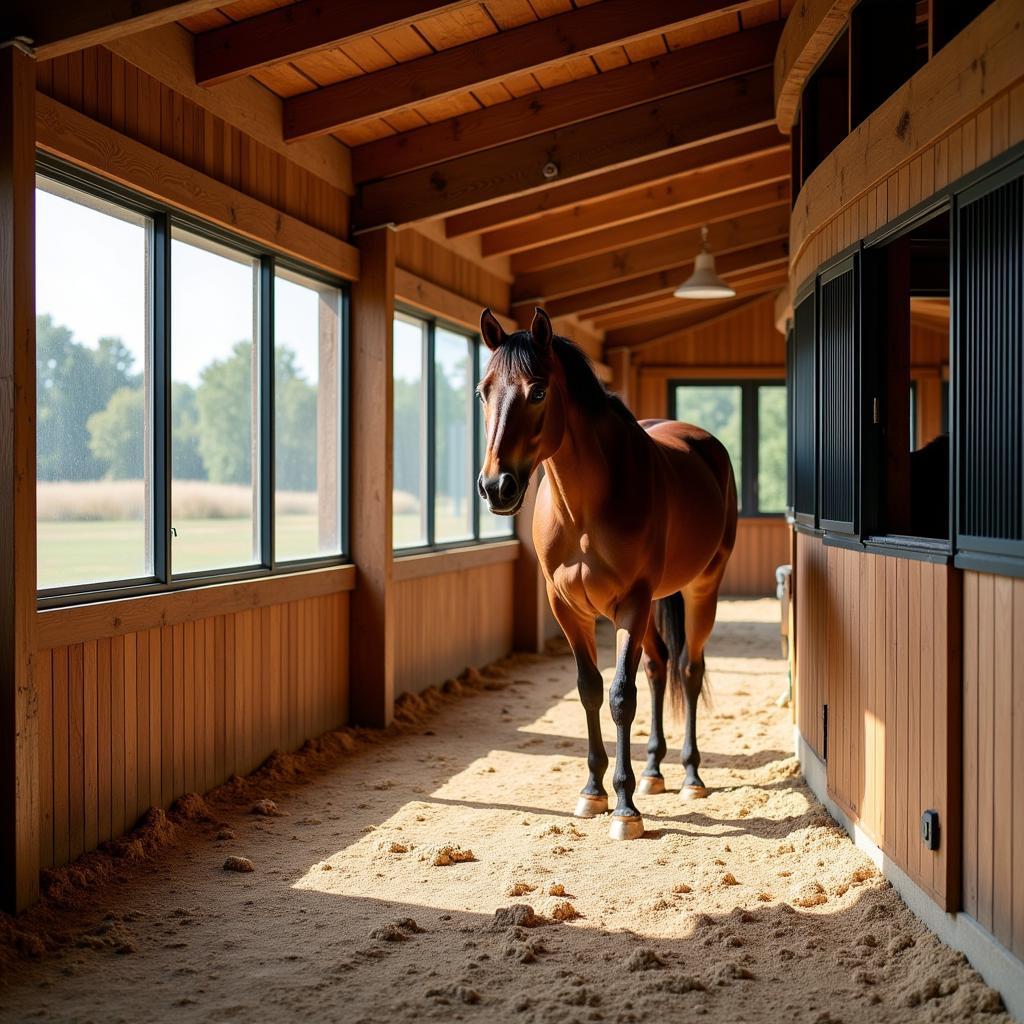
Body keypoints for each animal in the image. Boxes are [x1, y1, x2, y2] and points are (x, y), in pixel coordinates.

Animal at [477, 303, 737, 839]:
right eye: (483, 390)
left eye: (538, 391)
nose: (496, 487)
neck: (583, 510)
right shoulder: (568, 609)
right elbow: (590, 690)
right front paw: (593, 791)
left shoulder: (630, 605)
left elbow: (620, 695)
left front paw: (625, 808)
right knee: (660, 668)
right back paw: (655, 771)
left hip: (702, 588)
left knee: (688, 669)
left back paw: (691, 776)